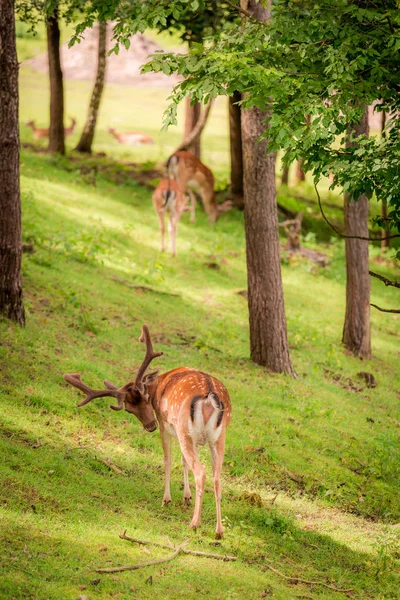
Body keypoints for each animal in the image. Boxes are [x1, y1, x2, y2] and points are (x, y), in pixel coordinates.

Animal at [63, 324, 231, 540]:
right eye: (128, 409)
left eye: (145, 397)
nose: (150, 425)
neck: (158, 384)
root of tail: (210, 396)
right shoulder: (183, 434)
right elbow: (183, 461)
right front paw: (186, 497)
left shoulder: (166, 425)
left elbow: (168, 459)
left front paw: (166, 499)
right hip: (218, 437)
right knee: (217, 478)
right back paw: (219, 531)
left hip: (186, 430)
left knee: (201, 473)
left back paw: (194, 524)